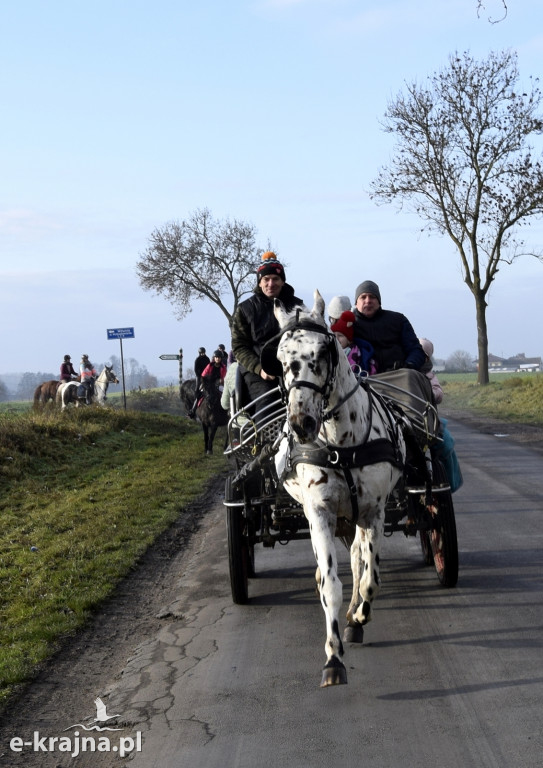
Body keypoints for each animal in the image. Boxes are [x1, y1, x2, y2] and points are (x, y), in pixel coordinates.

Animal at [272, 292, 408, 688]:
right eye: (280, 358)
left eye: (324, 349)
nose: (302, 423)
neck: (340, 444)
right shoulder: (320, 512)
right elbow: (332, 585)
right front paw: (333, 659)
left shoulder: (373, 510)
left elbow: (370, 578)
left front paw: (359, 617)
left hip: (358, 517)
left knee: (360, 559)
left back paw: (355, 616)